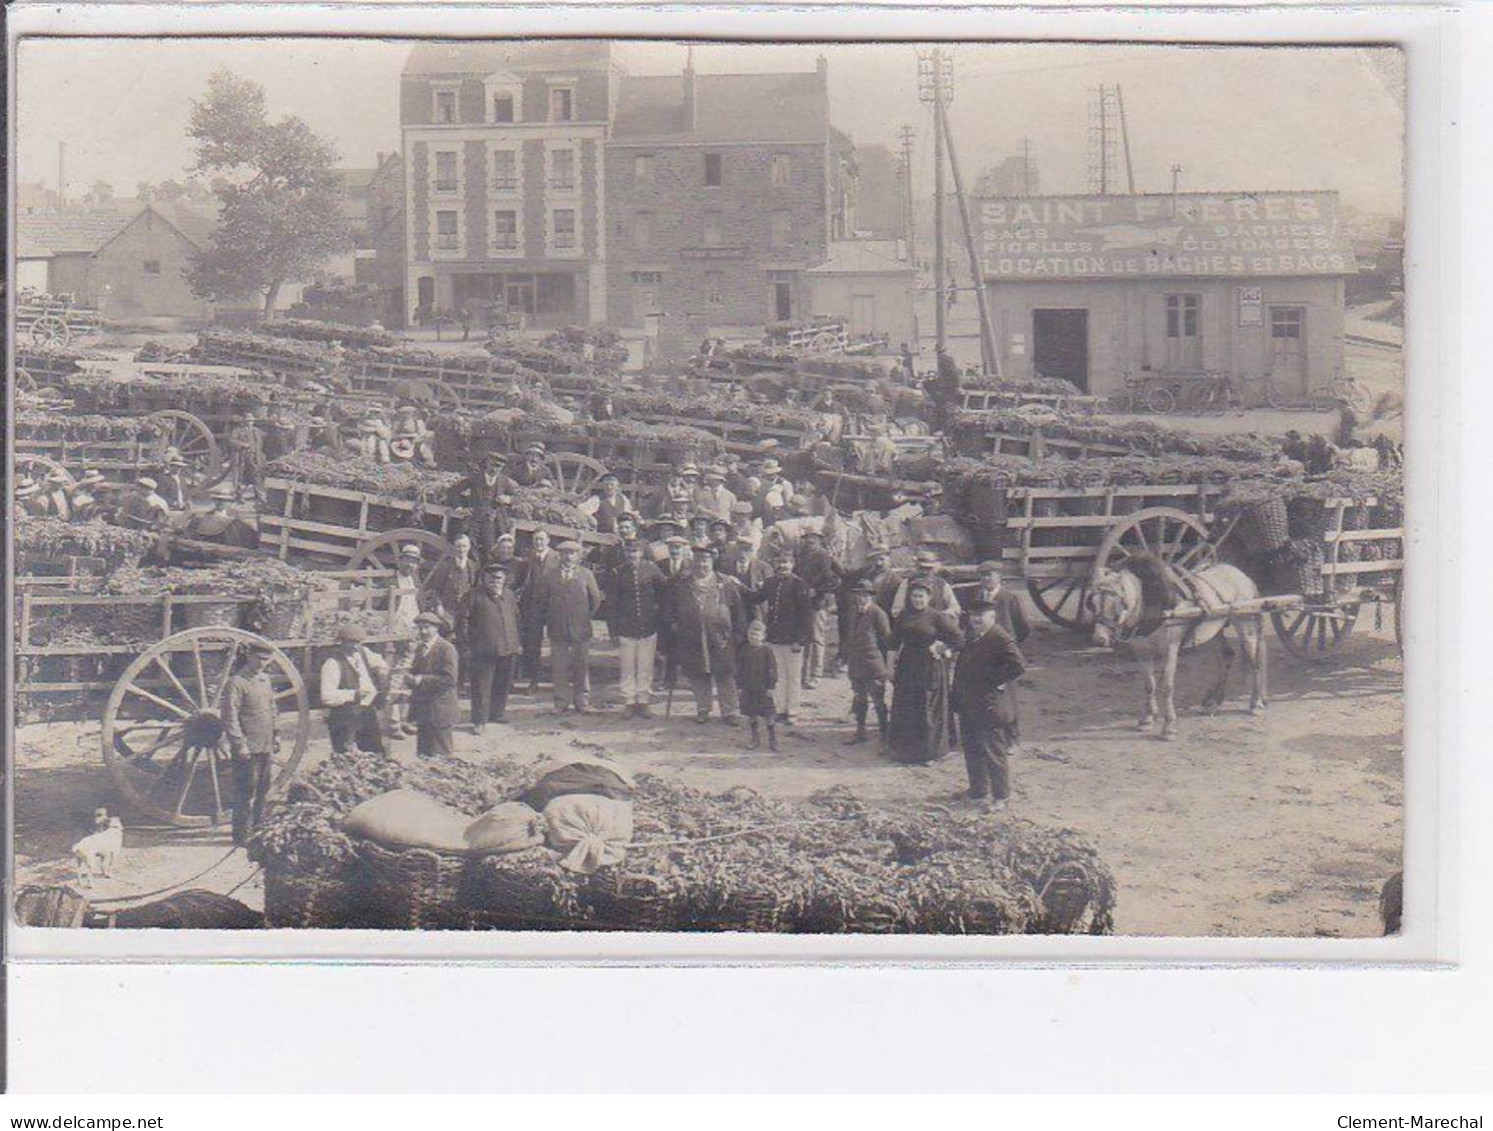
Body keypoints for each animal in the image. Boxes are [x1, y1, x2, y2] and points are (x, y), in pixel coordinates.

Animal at [1086, 558, 1272, 743]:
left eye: (1115, 603)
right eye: (1092, 603)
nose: (1099, 639)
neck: (1154, 605)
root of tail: (1242, 575)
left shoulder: (1170, 648)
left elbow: (1167, 686)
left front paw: (1169, 727)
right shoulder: (1142, 651)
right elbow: (1149, 685)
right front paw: (1147, 719)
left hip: (1245, 623)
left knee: (1254, 662)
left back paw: (1256, 703)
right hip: (1212, 630)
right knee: (1226, 656)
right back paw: (1213, 702)